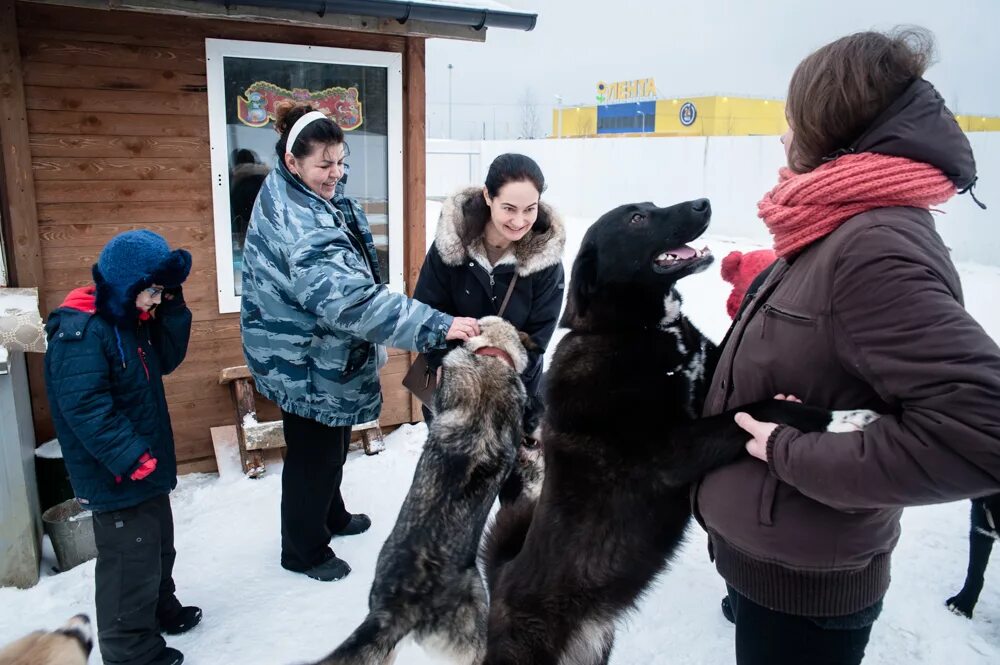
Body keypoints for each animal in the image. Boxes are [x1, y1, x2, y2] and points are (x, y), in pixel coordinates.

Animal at [480, 198, 880, 664]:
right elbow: (760, 406)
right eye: (637, 218)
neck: (640, 330)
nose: (703, 203)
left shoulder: (709, 381)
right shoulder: (671, 454)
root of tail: (501, 578)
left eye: (652, 205)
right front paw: (844, 418)